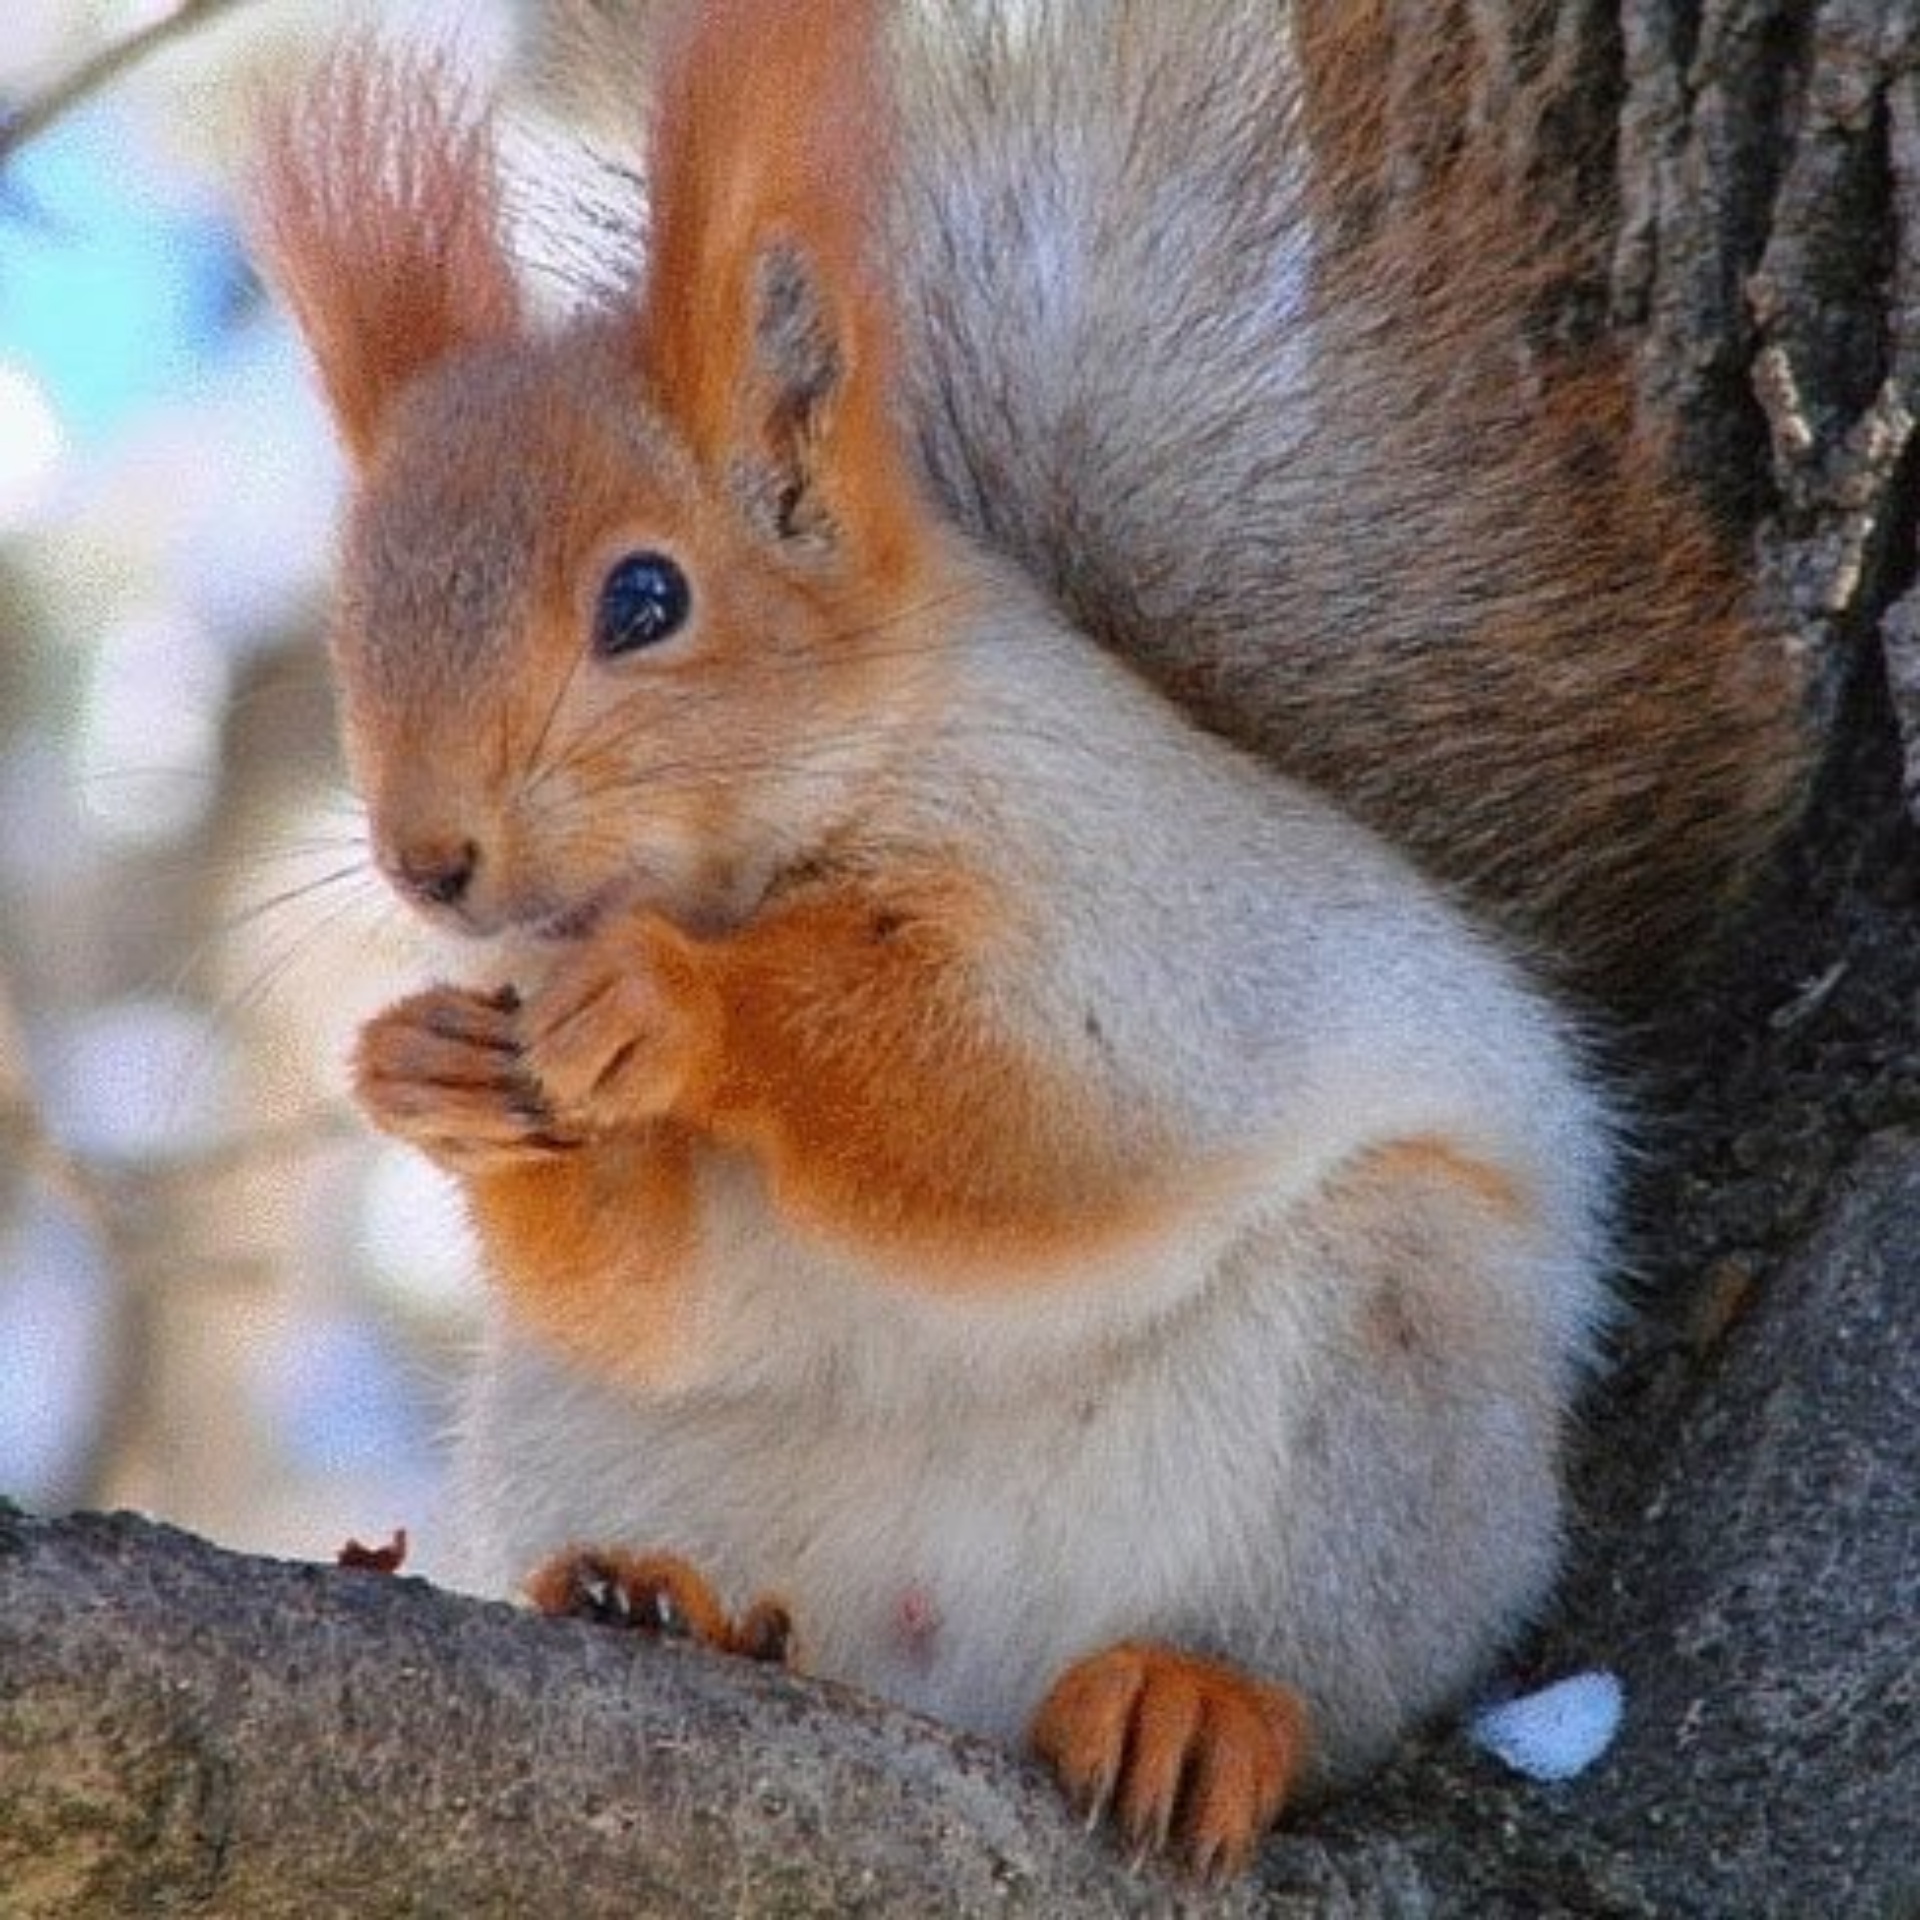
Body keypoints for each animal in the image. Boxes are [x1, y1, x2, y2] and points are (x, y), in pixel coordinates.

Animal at [259, 0, 1812, 1889]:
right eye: (353, 618)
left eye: (646, 599)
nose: (433, 862)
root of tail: (962, 1665)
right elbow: (652, 1289)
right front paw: (423, 1073)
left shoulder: (1146, 915)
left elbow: (1037, 1109)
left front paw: (682, 1004)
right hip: (590, 1439)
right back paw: (658, 1601)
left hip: (1386, 1388)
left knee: (1322, 1655)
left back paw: (1194, 1701)